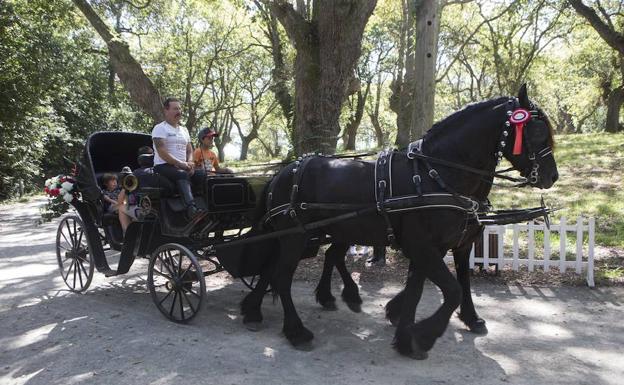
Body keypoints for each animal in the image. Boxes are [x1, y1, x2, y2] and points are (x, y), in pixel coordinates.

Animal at [238, 86, 556, 356]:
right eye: (538, 132)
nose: (552, 176)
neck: (434, 174)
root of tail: (282, 172)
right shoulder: (423, 246)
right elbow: (451, 289)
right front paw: (424, 335)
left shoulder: (439, 246)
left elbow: (420, 288)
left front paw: (405, 333)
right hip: (296, 236)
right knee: (282, 275)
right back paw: (296, 330)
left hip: (311, 235)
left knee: (282, 266)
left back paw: (257, 309)